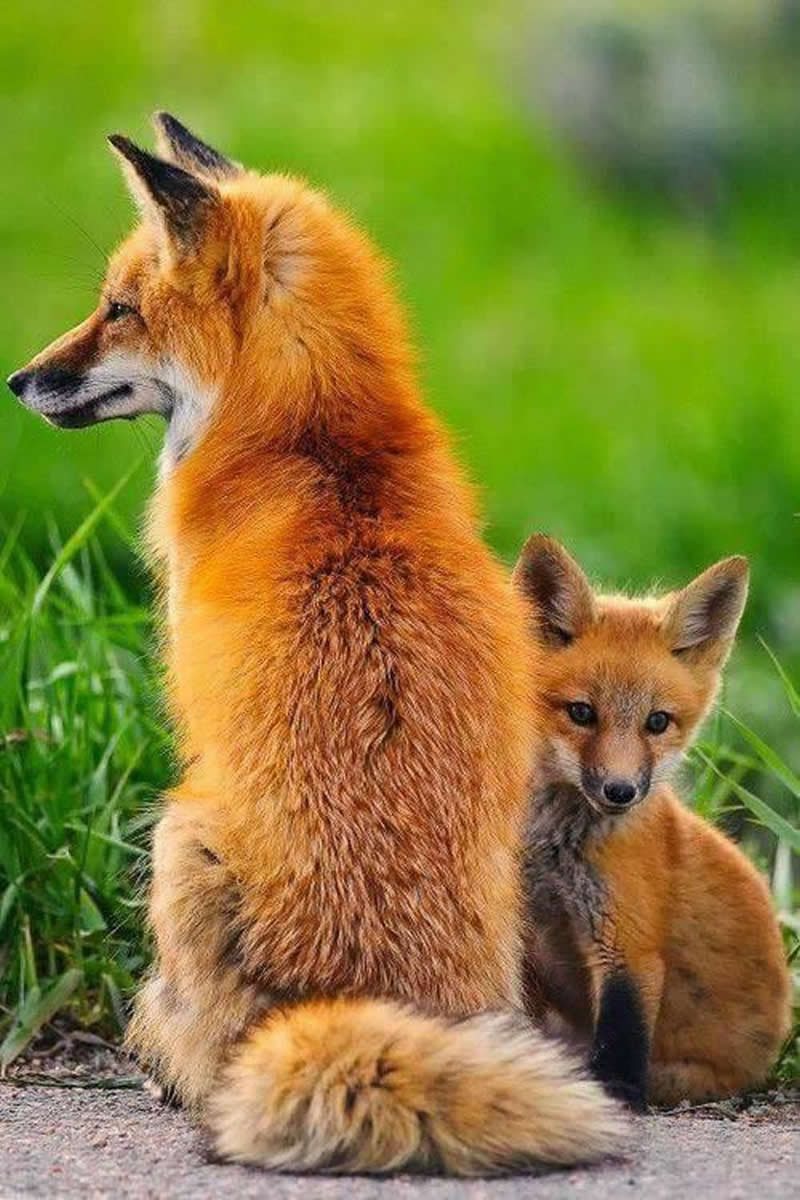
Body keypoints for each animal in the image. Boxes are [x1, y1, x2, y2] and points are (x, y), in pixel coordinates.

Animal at [7, 116, 625, 1173]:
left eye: (119, 310)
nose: (18, 380)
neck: (325, 446)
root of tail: (362, 992)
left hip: (176, 836)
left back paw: (180, 1082)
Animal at [512, 534, 792, 1110]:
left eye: (657, 722)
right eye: (581, 713)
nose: (620, 791)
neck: (557, 848)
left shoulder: (629, 944)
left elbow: (620, 1045)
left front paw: (613, 1103)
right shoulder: (526, 926)